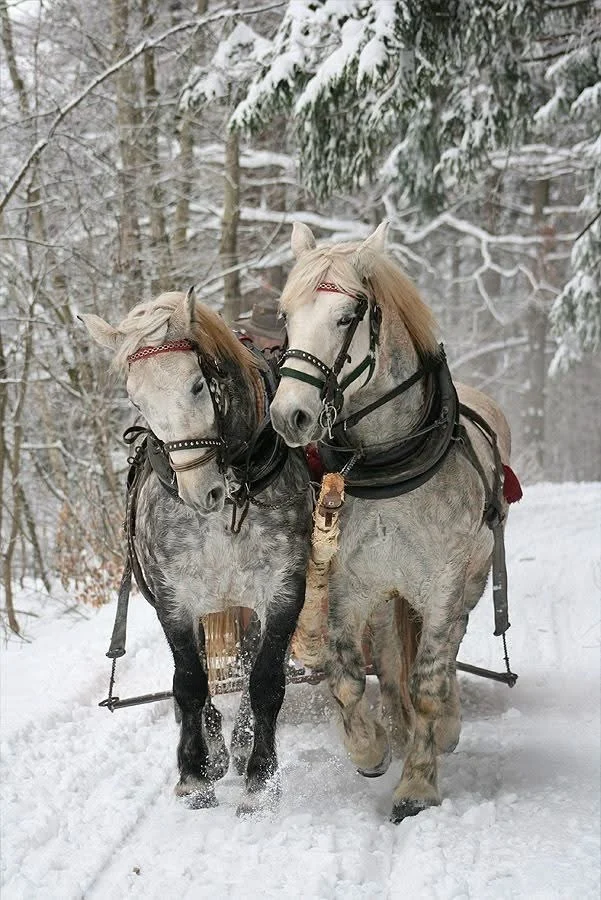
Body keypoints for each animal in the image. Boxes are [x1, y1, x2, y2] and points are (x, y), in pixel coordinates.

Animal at [81, 290, 313, 814]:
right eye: (136, 399)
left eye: (196, 384)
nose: (198, 492)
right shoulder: (174, 598)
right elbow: (189, 682)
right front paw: (194, 773)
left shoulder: (284, 589)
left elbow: (265, 681)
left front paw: (261, 779)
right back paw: (217, 751)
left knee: (246, 666)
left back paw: (243, 746)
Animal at [270, 221, 514, 822]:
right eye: (286, 315)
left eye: (346, 316)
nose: (289, 416)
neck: (391, 459)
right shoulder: (349, 584)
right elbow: (347, 674)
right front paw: (370, 747)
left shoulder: (443, 585)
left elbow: (429, 675)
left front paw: (418, 784)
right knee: (387, 657)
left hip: (471, 580)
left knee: (445, 653)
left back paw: (444, 726)